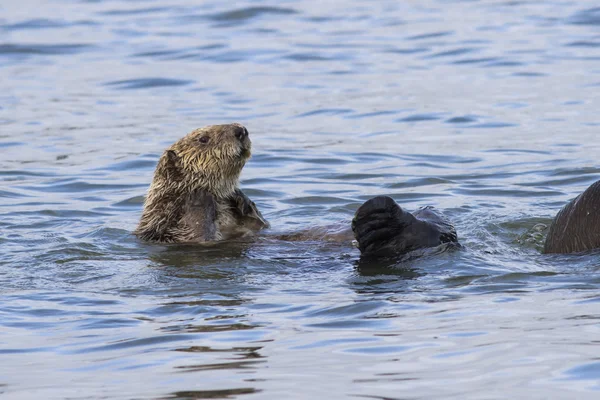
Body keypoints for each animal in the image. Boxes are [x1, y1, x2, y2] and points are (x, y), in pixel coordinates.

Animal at [136, 123, 270, 244]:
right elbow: (196, 236)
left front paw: (240, 197)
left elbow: (262, 224)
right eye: (203, 139)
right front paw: (199, 196)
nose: (241, 131)